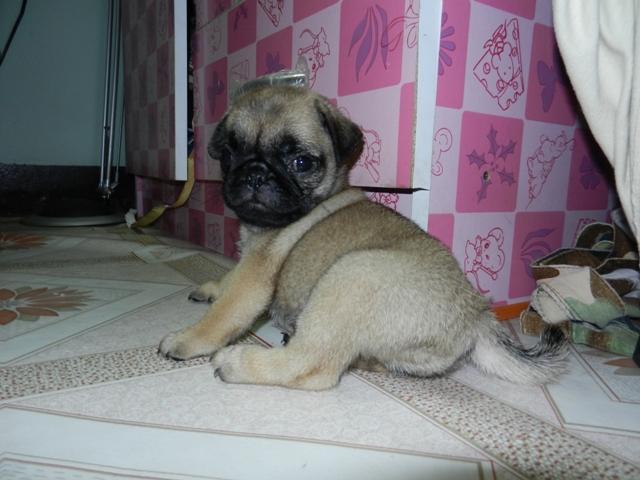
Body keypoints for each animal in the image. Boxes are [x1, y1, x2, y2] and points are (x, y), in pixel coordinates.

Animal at [158, 84, 567, 390]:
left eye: (301, 163)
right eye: (230, 153)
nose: (255, 173)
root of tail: (476, 318)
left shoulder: (255, 276)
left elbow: (223, 314)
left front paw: (185, 339)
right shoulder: (245, 263)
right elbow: (227, 281)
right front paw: (211, 287)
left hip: (350, 273)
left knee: (312, 367)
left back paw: (238, 362)